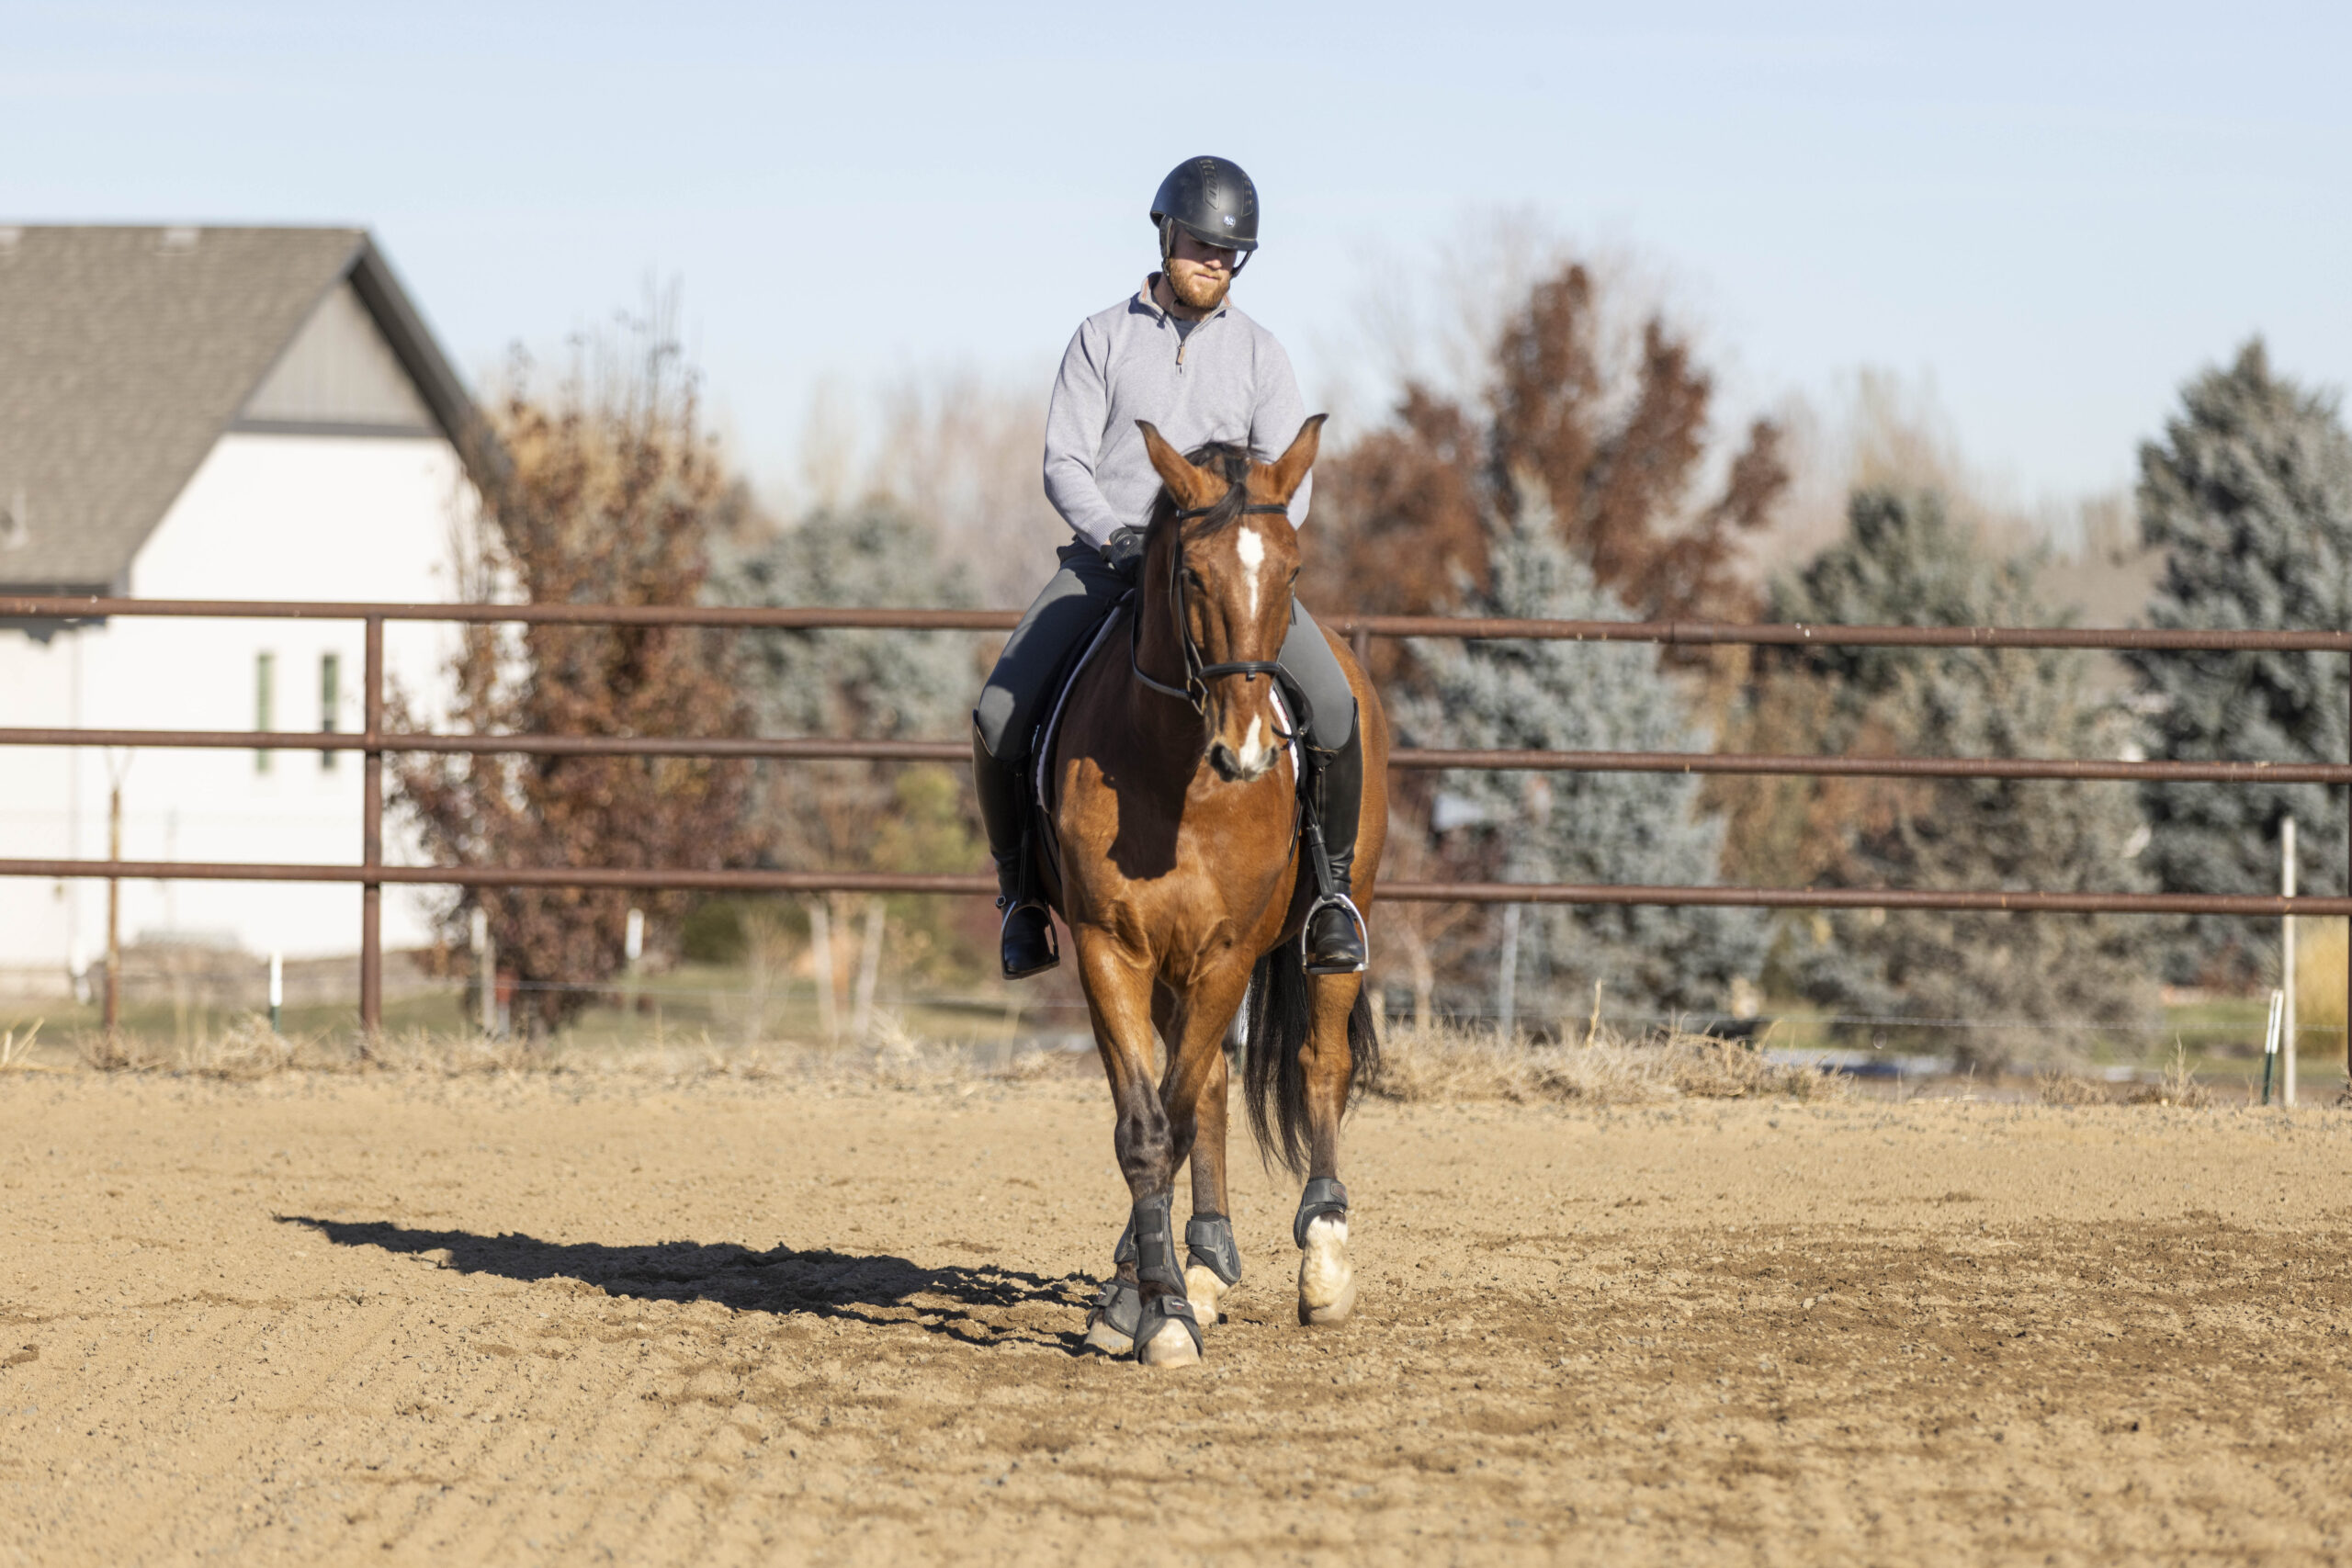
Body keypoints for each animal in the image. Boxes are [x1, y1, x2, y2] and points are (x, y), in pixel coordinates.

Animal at [1035, 414, 1389, 1367]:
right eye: (1191, 574)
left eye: (1292, 568)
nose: (1251, 748)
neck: (1176, 775)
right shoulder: (1111, 949)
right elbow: (1149, 1126)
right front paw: (1151, 1301)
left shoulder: (1228, 953)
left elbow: (1181, 1113)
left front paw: (1159, 1305)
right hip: (1170, 968)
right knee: (1212, 1087)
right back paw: (1198, 1261)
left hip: (1328, 933)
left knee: (1320, 1062)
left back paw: (1324, 1257)